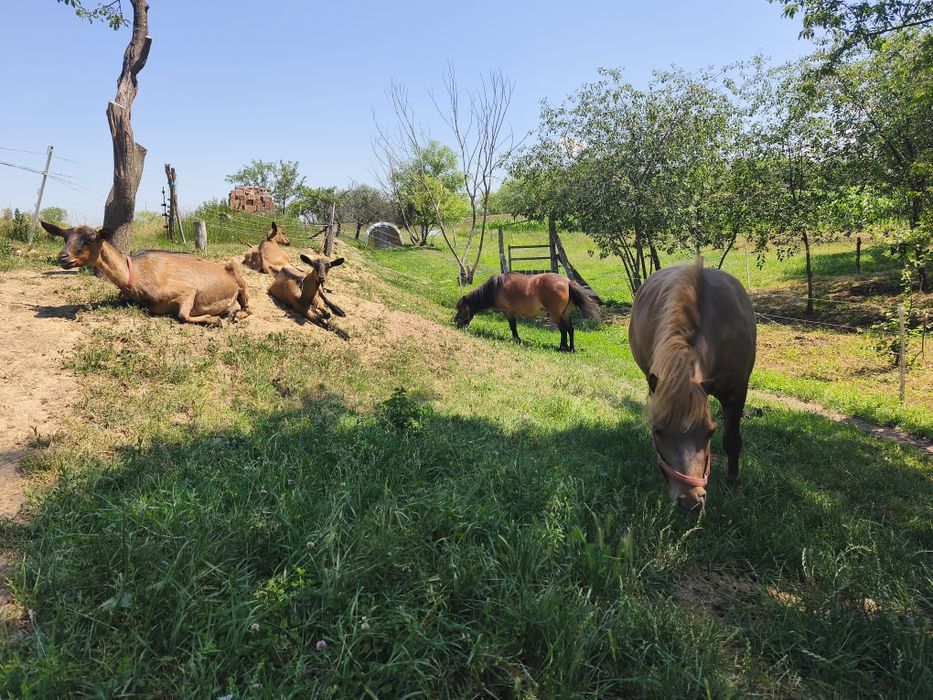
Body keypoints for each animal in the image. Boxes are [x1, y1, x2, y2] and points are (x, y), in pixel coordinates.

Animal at [42, 221, 251, 325]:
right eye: (65, 238)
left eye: (91, 238)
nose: (63, 257)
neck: (135, 273)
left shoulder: (187, 290)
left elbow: (182, 316)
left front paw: (214, 319)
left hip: (238, 276)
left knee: (248, 308)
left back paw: (233, 315)